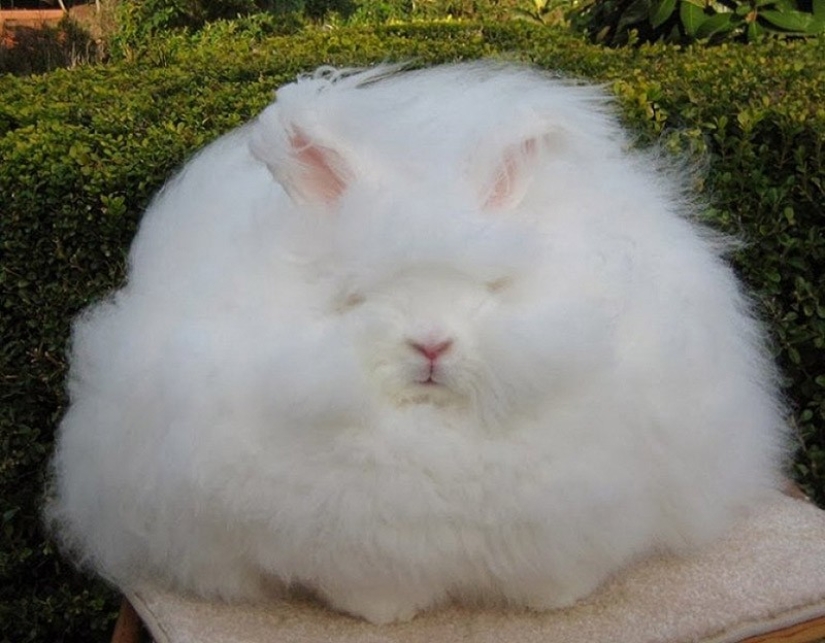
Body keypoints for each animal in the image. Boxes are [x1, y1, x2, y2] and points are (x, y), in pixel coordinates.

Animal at [46, 62, 789, 625]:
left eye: (491, 287)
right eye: (356, 297)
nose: (431, 346)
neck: (433, 434)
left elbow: (560, 572)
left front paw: (555, 603)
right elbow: (370, 588)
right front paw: (385, 616)